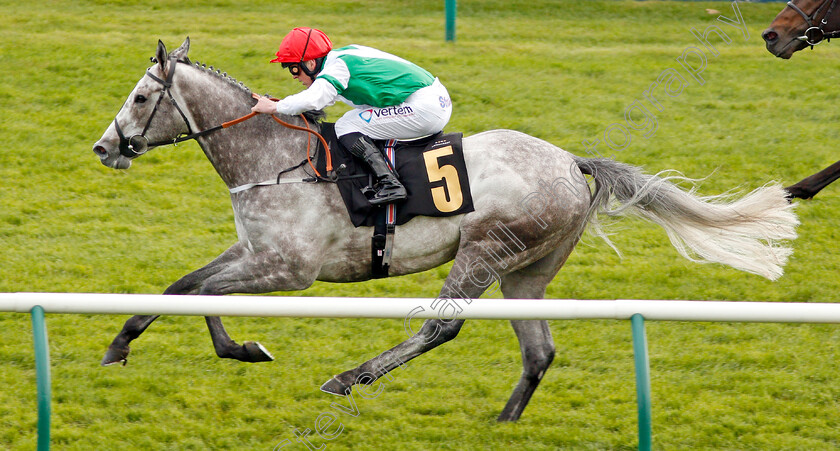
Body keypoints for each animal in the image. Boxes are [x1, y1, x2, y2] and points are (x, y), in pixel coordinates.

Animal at [92, 39, 800, 424]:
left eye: (140, 98)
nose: (104, 148)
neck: (274, 159)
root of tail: (571, 162)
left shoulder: (288, 270)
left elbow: (201, 292)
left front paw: (239, 347)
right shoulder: (255, 251)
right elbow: (185, 287)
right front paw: (129, 345)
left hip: (485, 249)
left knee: (442, 326)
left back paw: (350, 378)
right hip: (526, 272)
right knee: (538, 350)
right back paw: (504, 421)